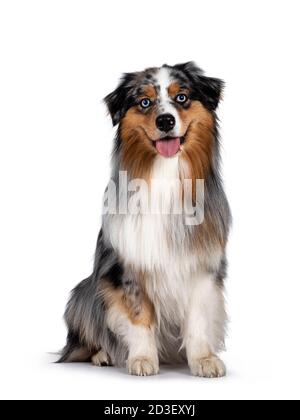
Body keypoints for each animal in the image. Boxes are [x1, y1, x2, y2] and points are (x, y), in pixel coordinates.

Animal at [59, 61, 232, 378]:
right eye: (145, 102)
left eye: (182, 97)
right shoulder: (127, 266)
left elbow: (199, 317)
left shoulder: (203, 264)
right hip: (84, 292)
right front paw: (141, 358)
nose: (165, 121)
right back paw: (103, 355)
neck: (165, 173)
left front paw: (203, 359)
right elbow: (139, 315)